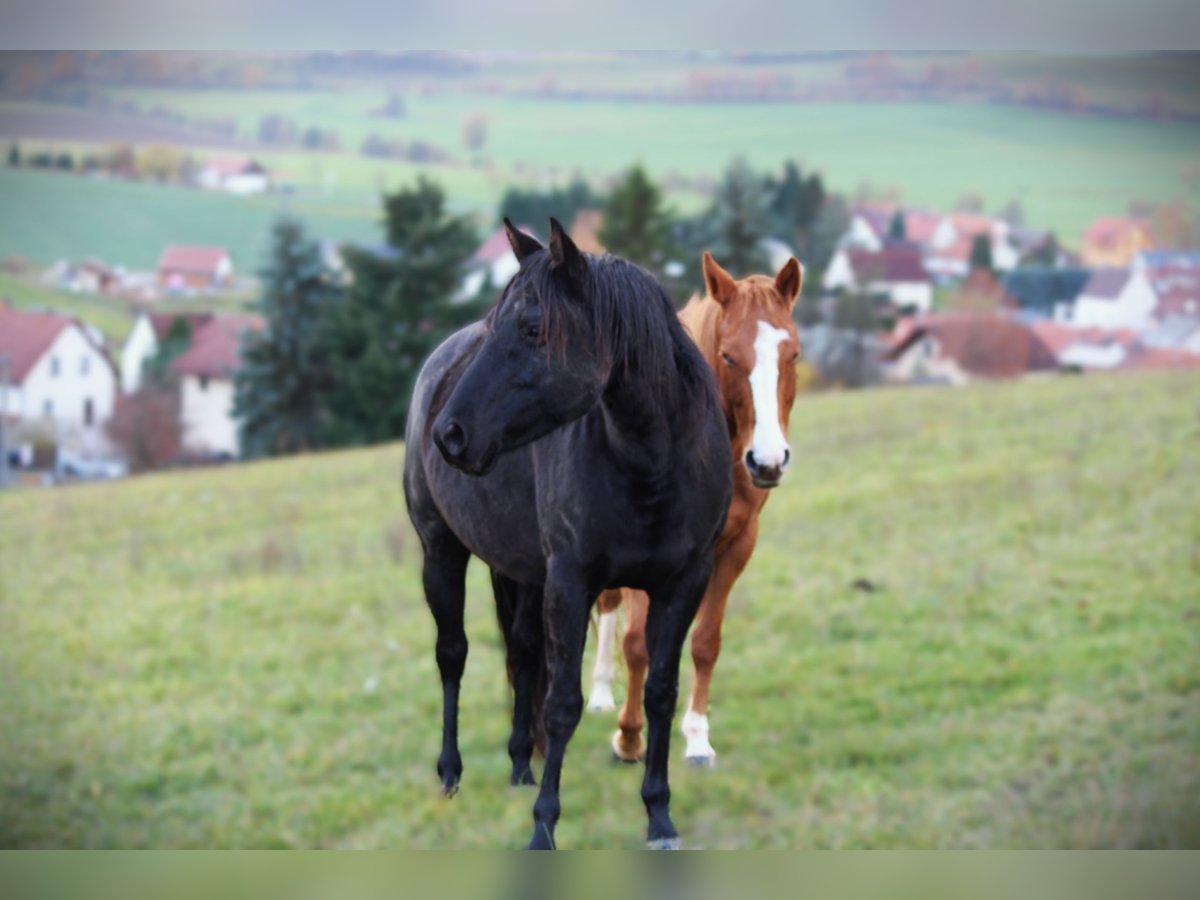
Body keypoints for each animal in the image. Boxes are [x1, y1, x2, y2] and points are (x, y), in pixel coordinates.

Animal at [403, 219, 732, 850]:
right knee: (452, 655)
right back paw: (451, 774)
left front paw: (659, 815)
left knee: (524, 652)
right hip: (441, 553)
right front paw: (543, 828)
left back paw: (519, 766)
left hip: (525, 574)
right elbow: (562, 704)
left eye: (533, 328)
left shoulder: (685, 581)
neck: (650, 464)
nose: (449, 434)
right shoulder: (572, 582)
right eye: (497, 322)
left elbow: (659, 691)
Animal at [588, 250, 803, 767]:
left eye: (793, 355)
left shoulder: (735, 547)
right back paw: (598, 694)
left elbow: (705, 642)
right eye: (728, 356)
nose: (768, 460)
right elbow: (637, 643)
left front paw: (697, 738)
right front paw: (629, 737)